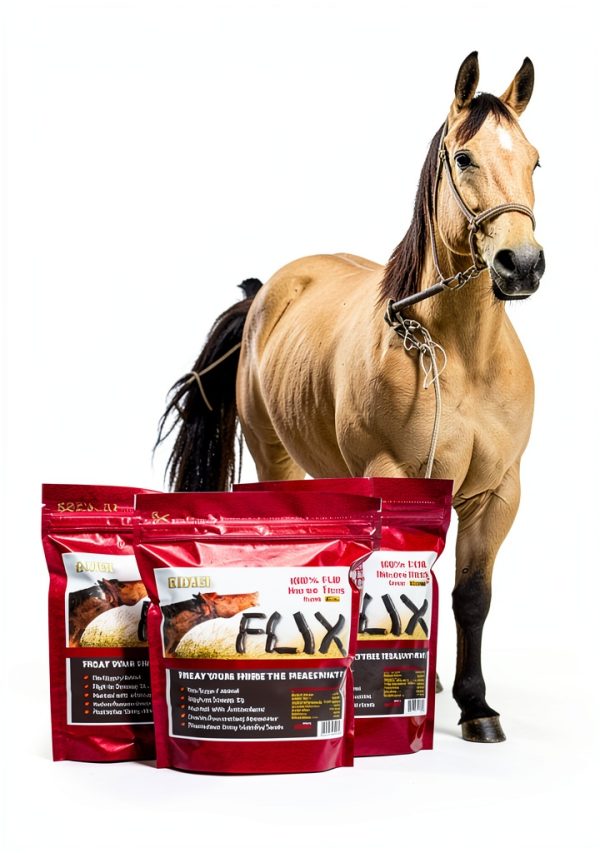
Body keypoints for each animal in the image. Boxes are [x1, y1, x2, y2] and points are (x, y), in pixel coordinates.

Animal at [157, 52, 545, 742]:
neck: (461, 357)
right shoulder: (394, 479)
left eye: (535, 160)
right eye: (465, 157)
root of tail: (267, 291)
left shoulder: (498, 493)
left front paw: (474, 704)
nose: (520, 264)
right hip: (272, 453)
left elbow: (470, 597)